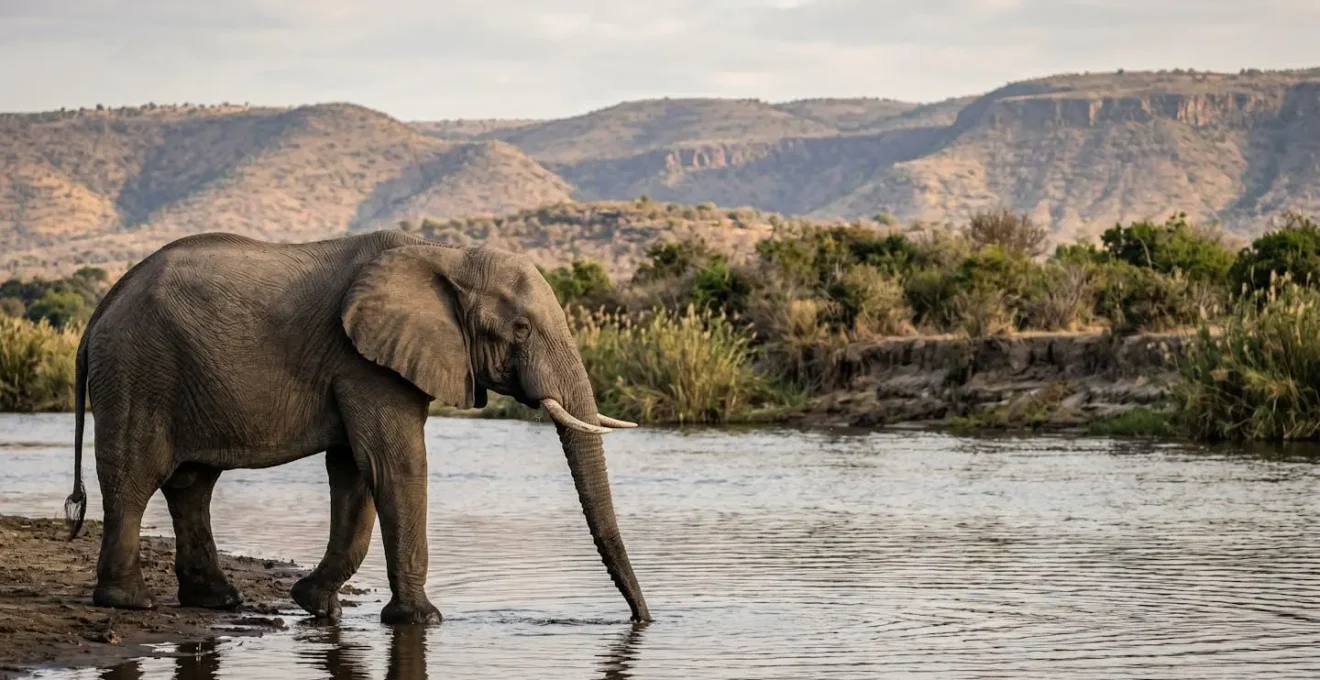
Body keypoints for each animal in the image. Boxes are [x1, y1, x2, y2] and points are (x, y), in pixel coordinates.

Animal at [62, 230, 651, 624]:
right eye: (521, 329)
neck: (444, 254)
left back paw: (216, 601)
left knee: (192, 483)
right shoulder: (364, 363)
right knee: (135, 476)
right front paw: (423, 620)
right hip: (138, 369)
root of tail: (99, 312)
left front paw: (314, 603)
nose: (642, 622)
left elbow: (355, 471)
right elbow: (395, 463)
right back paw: (129, 602)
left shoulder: (363, 364)